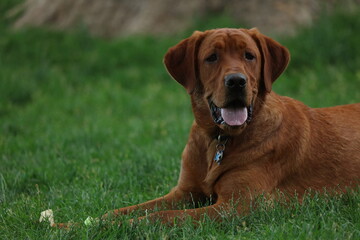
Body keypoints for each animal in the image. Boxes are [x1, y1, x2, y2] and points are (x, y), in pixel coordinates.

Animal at [105, 28, 360, 225]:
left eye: (249, 56)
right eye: (211, 57)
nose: (236, 81)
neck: (218, 139)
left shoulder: (238, 205)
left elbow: (166, 216)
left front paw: (128, 226)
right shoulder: (184, 192)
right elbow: (131, 208)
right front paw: (102, 220)